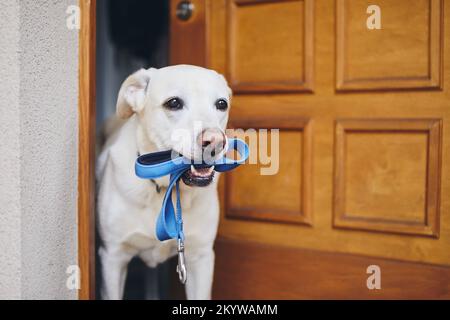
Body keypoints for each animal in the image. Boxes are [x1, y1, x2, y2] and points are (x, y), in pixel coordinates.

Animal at [94, 65, 229, 300]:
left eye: (222, 104)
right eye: (173, 103)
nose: (216, 141)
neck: (167, 188)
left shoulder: (200, 257)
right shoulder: (113, 257)